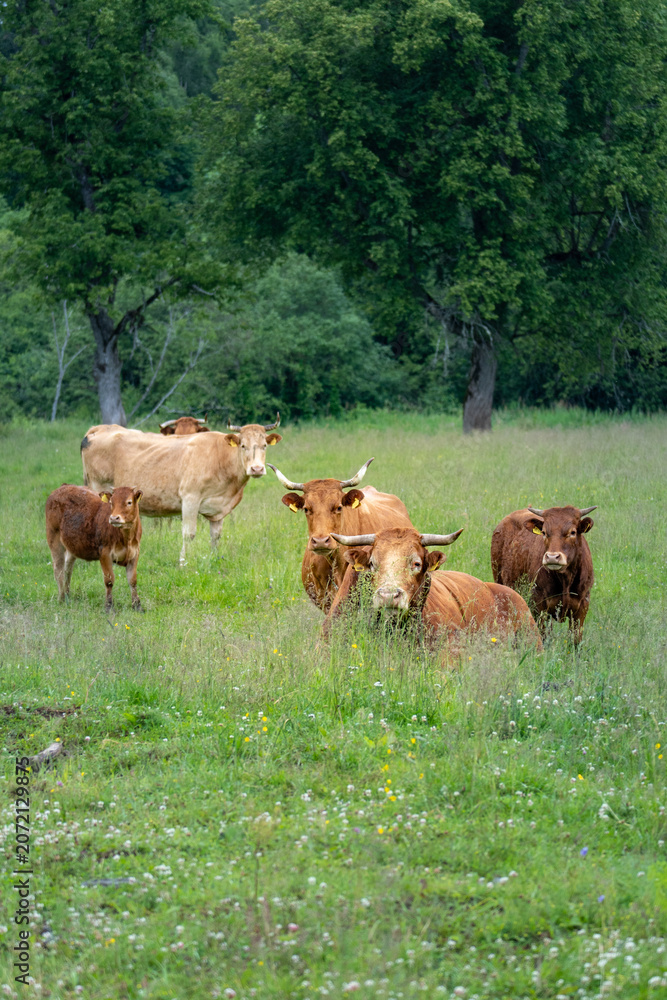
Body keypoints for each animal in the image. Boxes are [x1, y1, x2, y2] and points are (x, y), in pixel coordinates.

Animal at [81, 414, 282, 565]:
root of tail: (100, 428)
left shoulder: (218, 508)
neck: (220, 457)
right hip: (99, 488)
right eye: (243, 446)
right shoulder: (190, 499)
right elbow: (189, 534)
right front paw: (183, 562)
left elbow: (216, 536)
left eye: (264, 446)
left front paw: (214, 558)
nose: (257, 469)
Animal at [490, 505, 597, 643]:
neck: (565, 580)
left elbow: (575, 641)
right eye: (544, 532)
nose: (552, 557)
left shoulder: (582, 608)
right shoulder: (539, 606)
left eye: (572, 532)